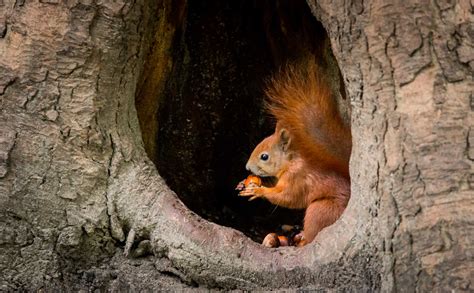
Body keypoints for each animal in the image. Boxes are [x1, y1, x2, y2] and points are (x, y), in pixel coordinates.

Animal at [239, 60, 350, 245]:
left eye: (264, 156)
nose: (247, 168)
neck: (290, 163)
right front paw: (245, 184)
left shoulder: (297, 179)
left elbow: (287, 198)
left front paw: (258, 191)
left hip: (320, 210)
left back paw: (302, 240)